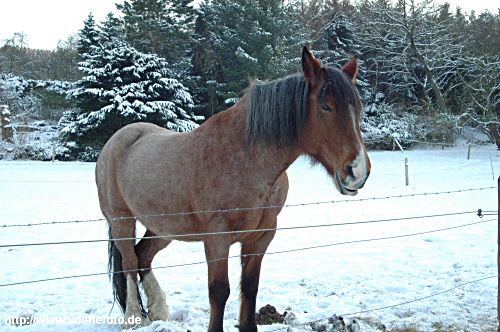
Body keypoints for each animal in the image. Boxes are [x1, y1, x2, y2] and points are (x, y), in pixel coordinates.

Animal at [96, 47, 372, 332]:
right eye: (326, 106)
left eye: (357, 109)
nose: (358, 171)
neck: (246, 158)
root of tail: (119, 138)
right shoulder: (217, 237)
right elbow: (219, 291)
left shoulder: (260, 237)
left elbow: (249, 288)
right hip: (121, 220)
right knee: (129, 262)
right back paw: (134, 317)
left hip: (164, 227)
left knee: (143, 256)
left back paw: (158, 309)